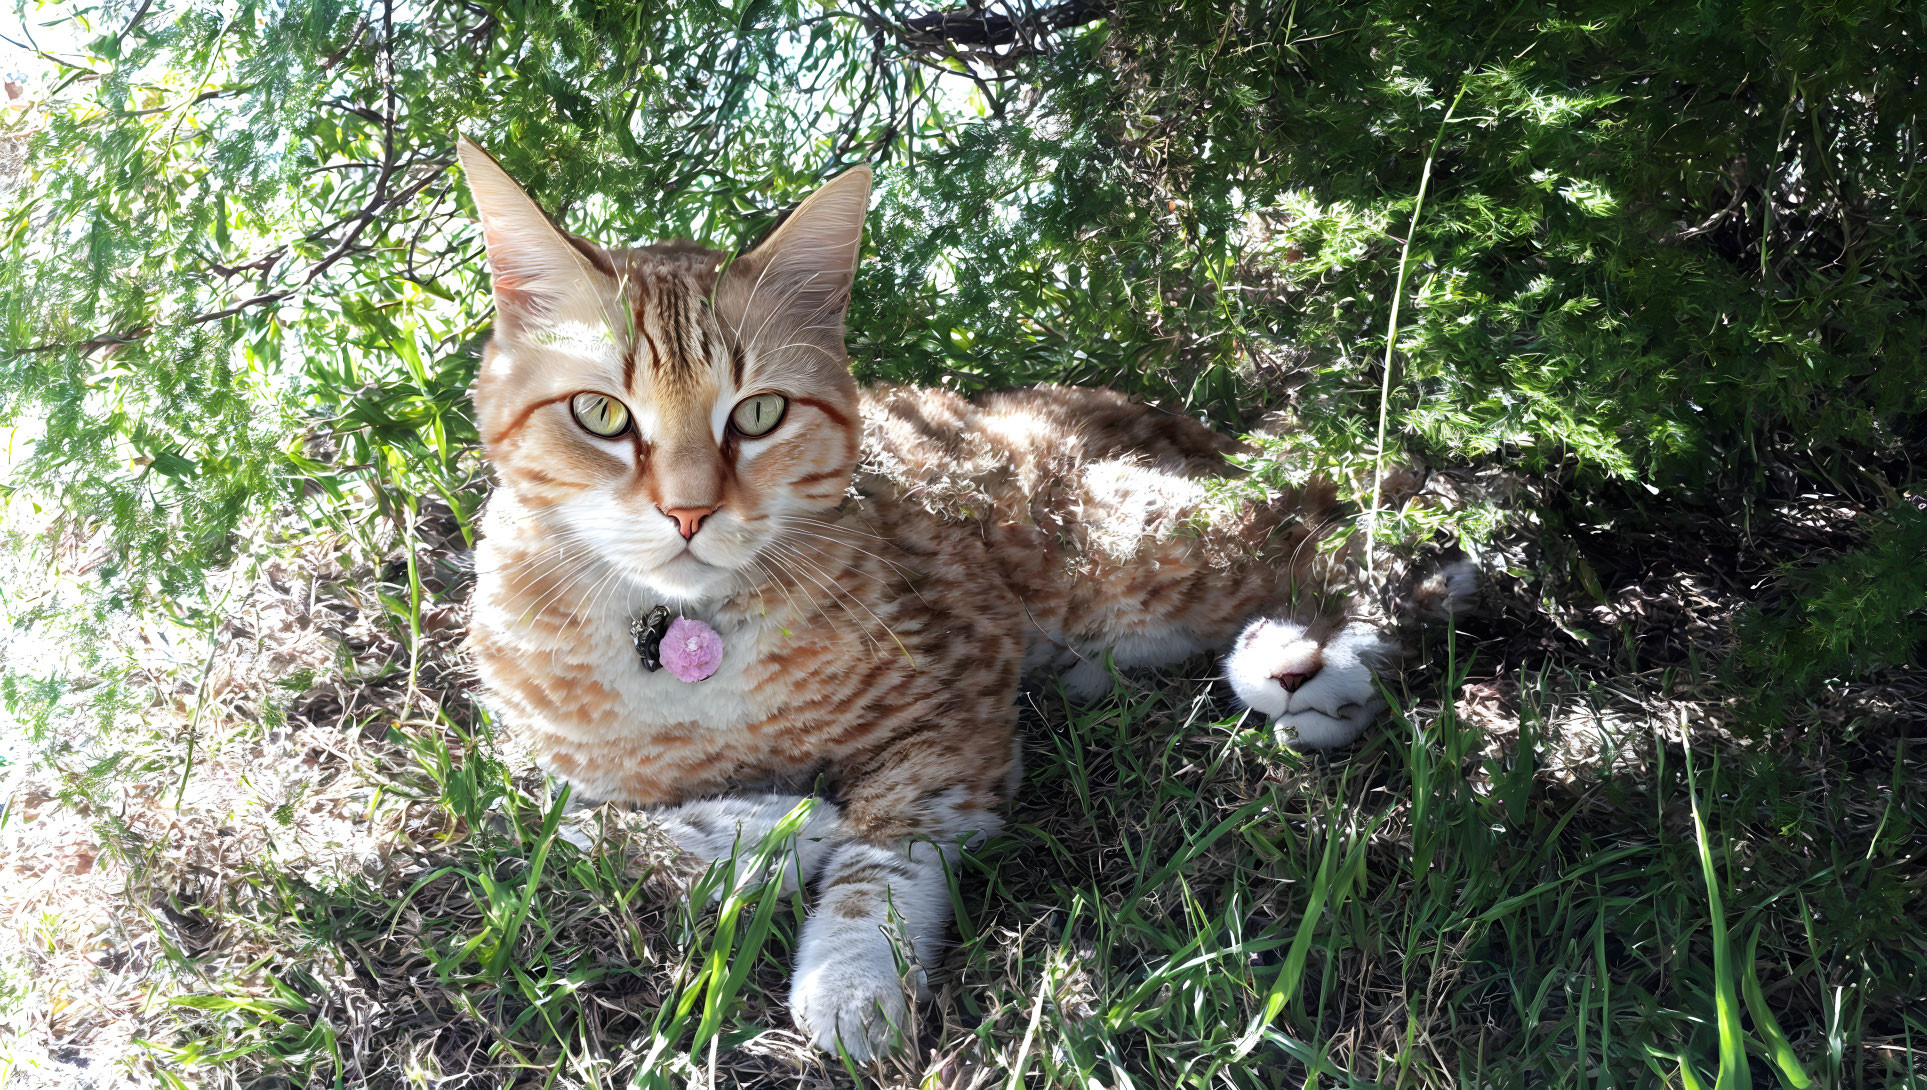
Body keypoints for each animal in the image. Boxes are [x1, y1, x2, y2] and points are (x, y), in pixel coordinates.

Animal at [454, 140, 1472, 1063]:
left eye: (758, 414)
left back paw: (1346, 646)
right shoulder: (530, 761)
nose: (689, 511)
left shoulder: (953, 706)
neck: (679, 636)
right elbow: (566, 829)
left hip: (1130, 550)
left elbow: (885, 847)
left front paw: (852, 971)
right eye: (599, 415)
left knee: (1333, 512)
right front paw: (760, 829)